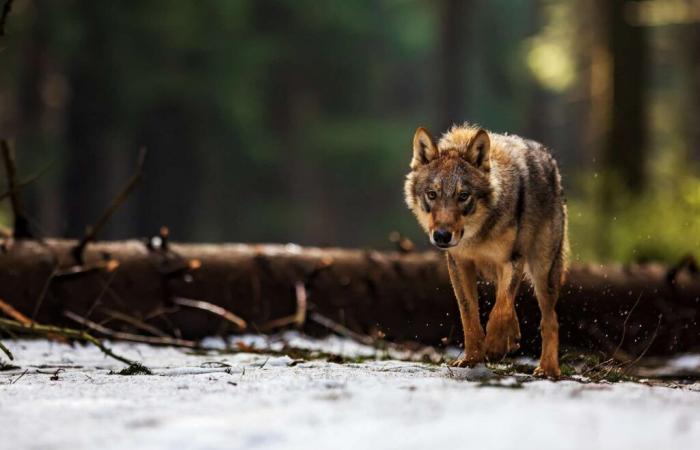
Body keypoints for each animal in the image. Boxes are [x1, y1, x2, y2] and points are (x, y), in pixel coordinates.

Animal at [404, 122, 568, 376]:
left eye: (463, 196)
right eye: (432, 194)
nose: (442, 236)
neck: (478, 235)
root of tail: (549, 158)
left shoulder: (512, 259)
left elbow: (500, 307)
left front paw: (495, 345)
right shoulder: (459, 263)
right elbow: (469, 315)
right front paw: (472, 358)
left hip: (543, 271)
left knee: (550, 320)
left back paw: (547, 369)